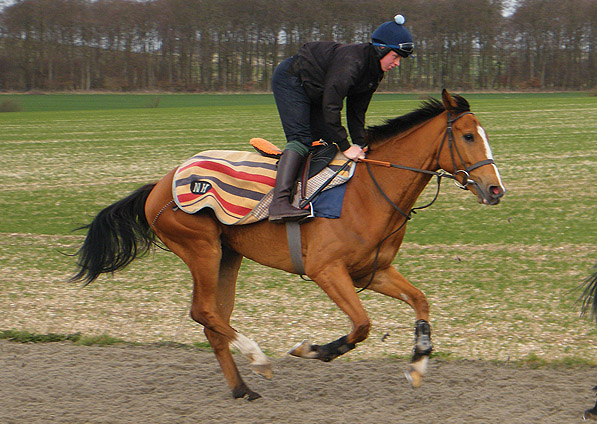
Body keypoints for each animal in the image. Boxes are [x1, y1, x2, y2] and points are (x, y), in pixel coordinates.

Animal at [72, 90, 506, 400]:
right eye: (468, 135)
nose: (495, 189)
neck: (369, 191)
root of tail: (159, 185)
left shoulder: (373, 271)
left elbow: (420, 302)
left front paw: (417, 365)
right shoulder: (326, 271)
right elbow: (362, 325)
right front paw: (313, 349)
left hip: (228, 256)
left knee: (214, 319)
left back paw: (242, 388)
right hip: (201, 249)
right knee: (203, 312)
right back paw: (258, 358)